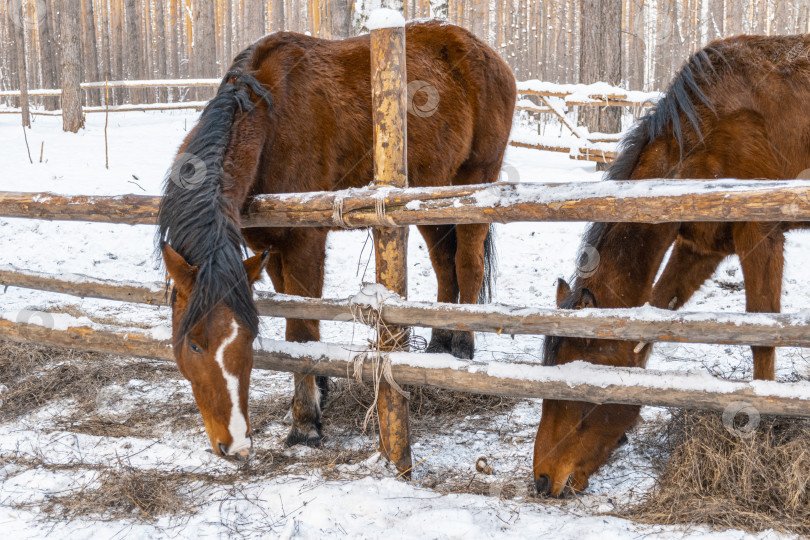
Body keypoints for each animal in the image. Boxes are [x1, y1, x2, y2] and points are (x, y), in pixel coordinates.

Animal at [156, 22, 516, 460]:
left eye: (246, 338)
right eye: (192, 345)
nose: (236, 443)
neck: (270, 122)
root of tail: (485, 51)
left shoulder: (304, 243)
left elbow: (302, 329)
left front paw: (305, 423)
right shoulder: (268, 248)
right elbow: (299, 321)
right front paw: (318, 392)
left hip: (475, 180)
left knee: (468, 265)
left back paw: (462, 345)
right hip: (431, 193)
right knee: (445, 267)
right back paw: (438, 346)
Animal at [532, 33, 808, 498]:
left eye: (579, 383)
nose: (542, 479)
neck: (703, 136)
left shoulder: (761, 234)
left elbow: (763, 337)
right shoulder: (701, 247)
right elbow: (655, 317)